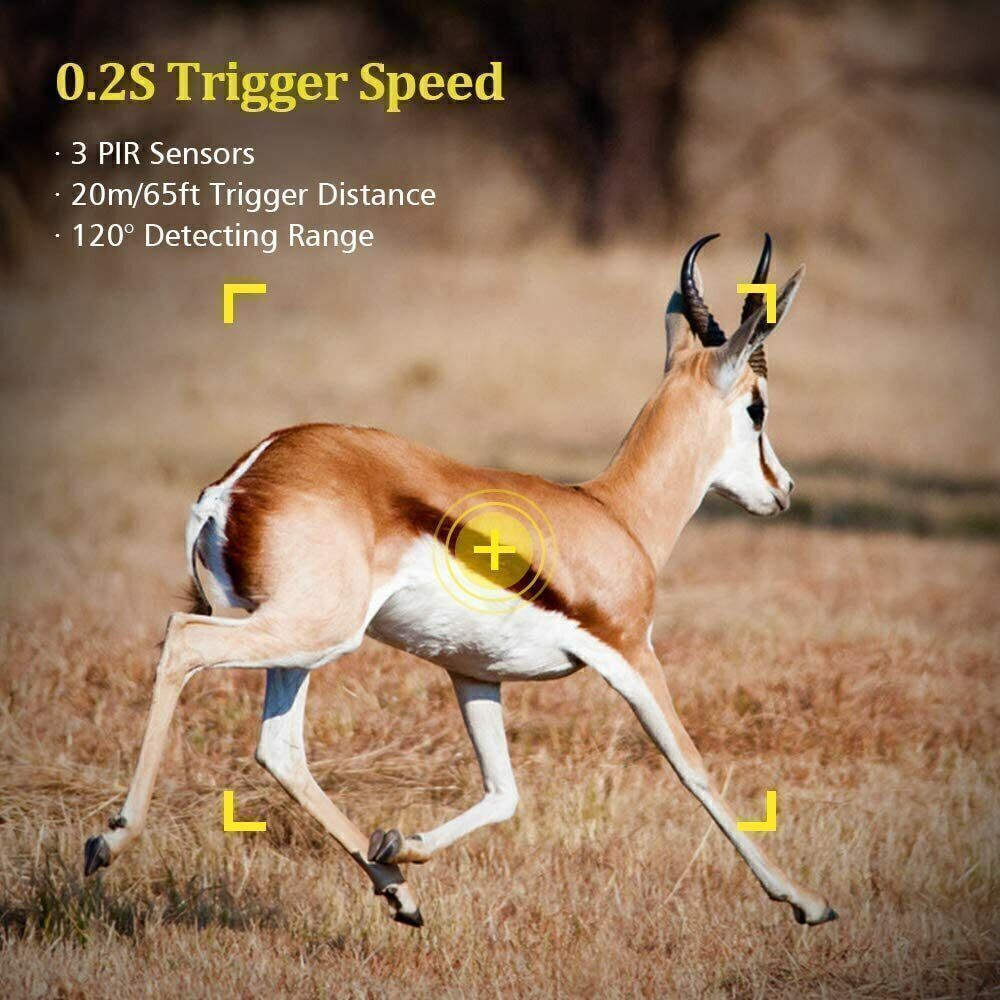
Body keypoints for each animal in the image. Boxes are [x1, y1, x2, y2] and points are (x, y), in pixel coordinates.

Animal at [84, 234, 838, 930]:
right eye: (758, 407)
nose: (785, 490)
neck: (616, 515)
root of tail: (243, 476)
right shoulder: (631, 654)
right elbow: (694, 768)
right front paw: (807, 901)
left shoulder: (475, 672)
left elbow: (504, 793)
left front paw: (400, 842)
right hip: (313, 630)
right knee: (184, 641)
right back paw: (109, 841)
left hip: (300, 644)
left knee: (279, 749)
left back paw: (399, 892)